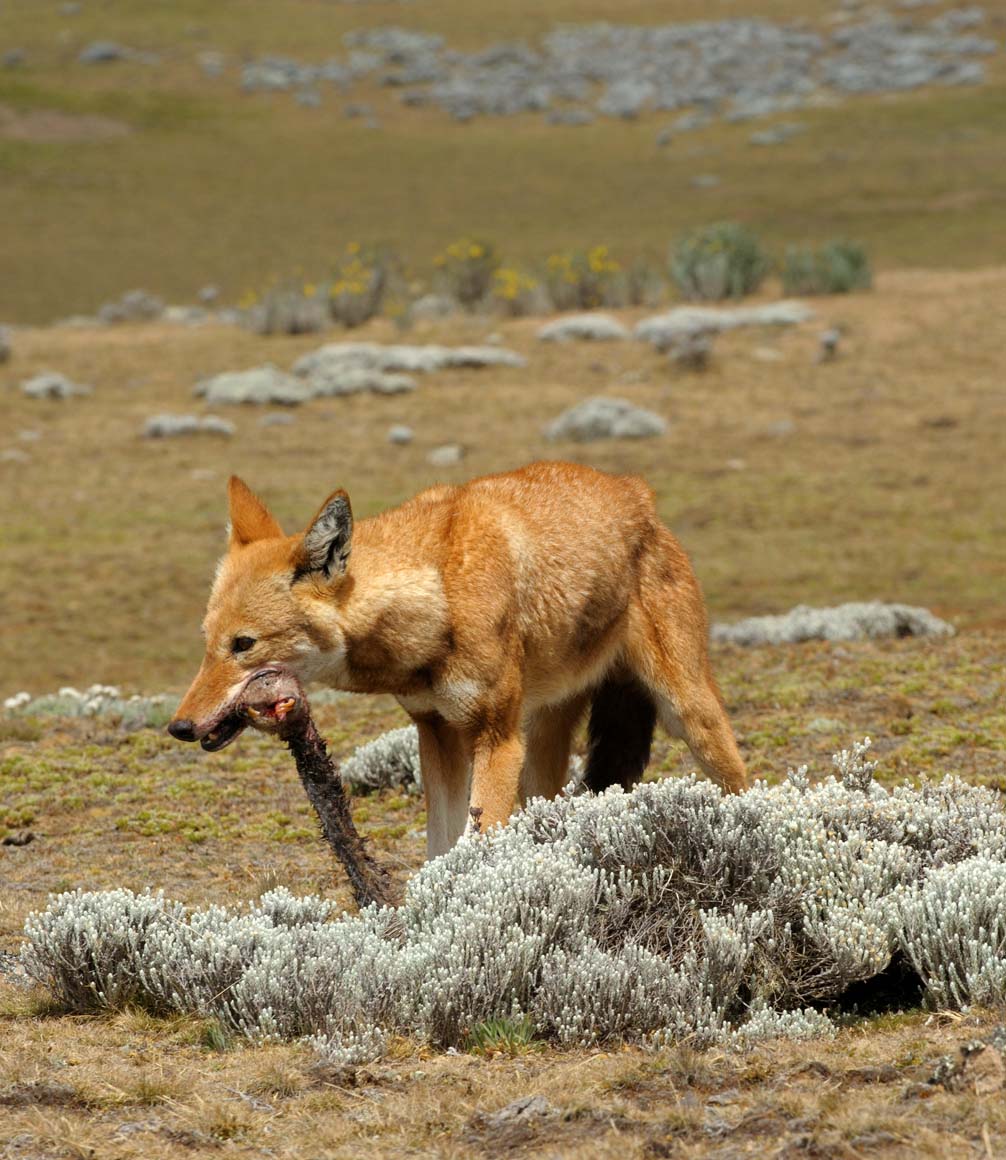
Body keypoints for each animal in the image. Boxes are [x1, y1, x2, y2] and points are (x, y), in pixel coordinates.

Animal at [167, 464, 747, 863]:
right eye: (207, 643)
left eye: (243, 644)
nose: (179, 726)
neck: (439, 592)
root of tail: (637, 491)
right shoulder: (437, 733)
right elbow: (440, 849)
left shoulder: (497, 739)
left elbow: (472, 847)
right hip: (543, 744)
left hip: (688, 718)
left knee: (743, 785)